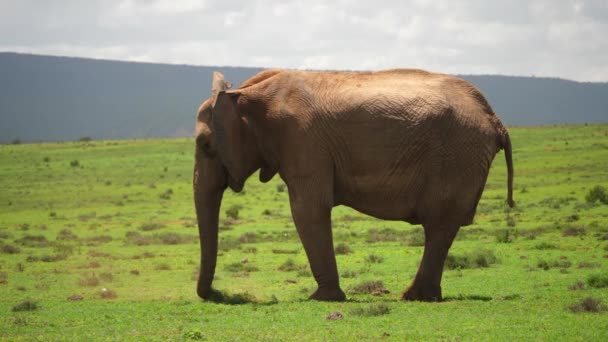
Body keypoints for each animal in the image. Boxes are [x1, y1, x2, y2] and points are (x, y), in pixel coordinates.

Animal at [194, 67, 512, 302]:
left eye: (205, 145)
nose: (217, 295)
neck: (244, 93)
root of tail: (495, 119)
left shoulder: (303, 141)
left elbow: (307, 210)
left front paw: (322, 299)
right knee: (441, 228)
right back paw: (423, 296)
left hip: (456, 156)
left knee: (439, 225)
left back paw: (413, 297)